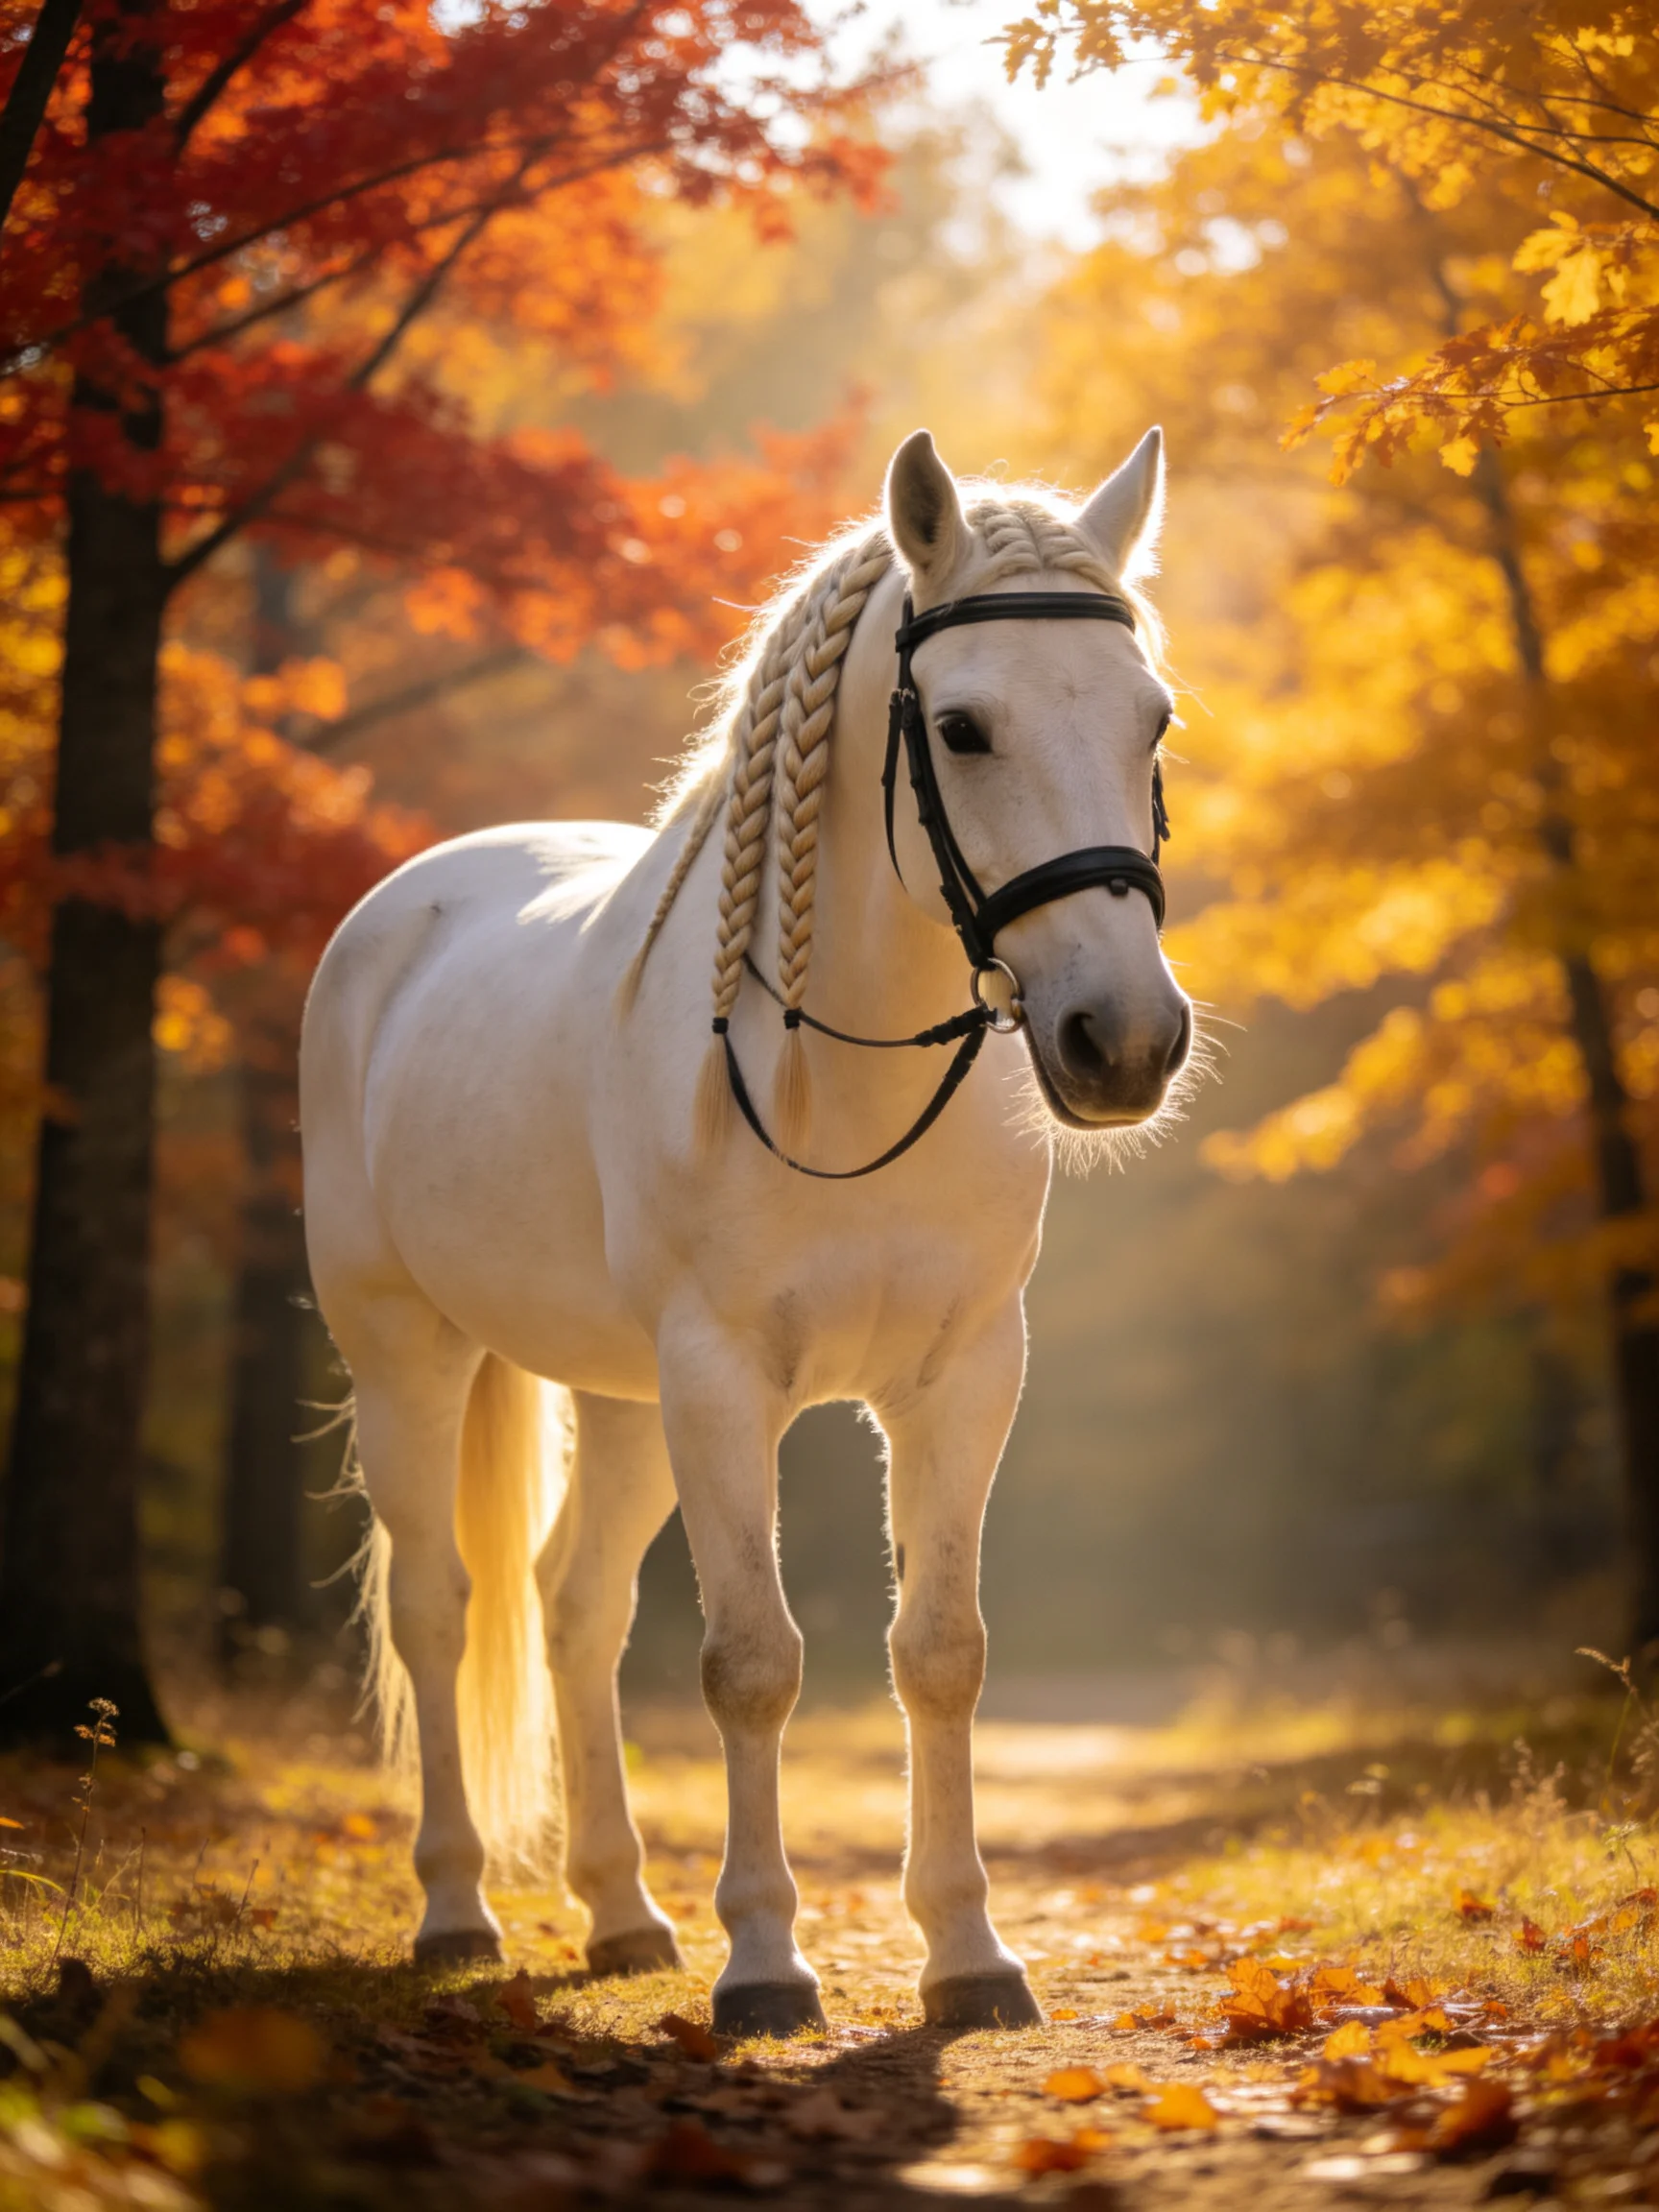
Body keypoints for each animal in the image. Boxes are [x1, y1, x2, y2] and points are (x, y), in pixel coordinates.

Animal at [298, 425, 1193, 2036]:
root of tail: (402, 908)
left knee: (574, 1609)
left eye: (1151, 720)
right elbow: (752, 1665)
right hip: (410, 1352)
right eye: (961, 728)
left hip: (620, 1399)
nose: (1128, 1042)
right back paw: (459, 1914)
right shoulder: (722, 1383)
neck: (846, 1075)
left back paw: (621, 1915)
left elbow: (941, 1654)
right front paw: (768, 1964)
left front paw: (969, 1955)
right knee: (441, 1609)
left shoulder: (965, 1378)